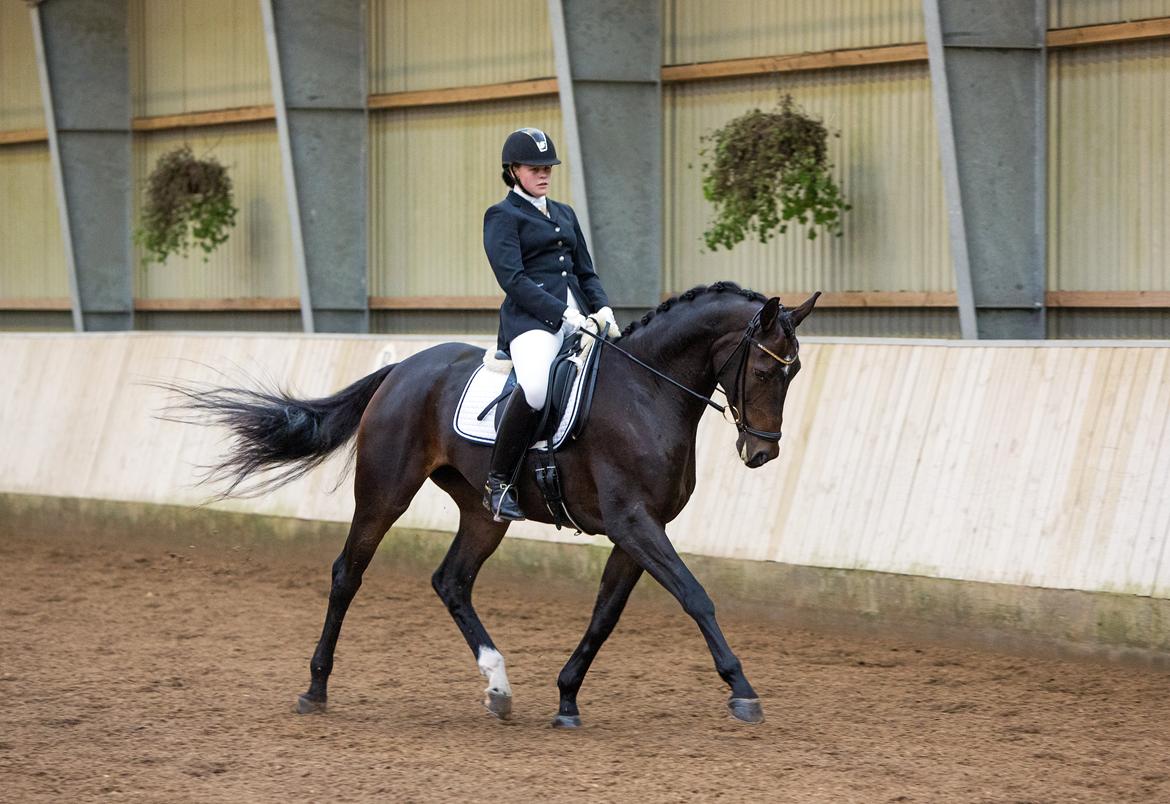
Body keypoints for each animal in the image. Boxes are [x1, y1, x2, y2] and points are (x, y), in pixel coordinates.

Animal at [180, 279, 823, 725]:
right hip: (385, 493)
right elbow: (696, 597)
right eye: (765, 370)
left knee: (452, 580)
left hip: (483, 512)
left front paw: (566, 697)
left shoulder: (637, 530)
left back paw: (498, 687)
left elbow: (606, 615)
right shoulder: (634, 523)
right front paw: (743, 691)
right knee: (347, 574)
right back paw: (315, 690)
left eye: (793, 375)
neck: (648, 391)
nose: (761, 452)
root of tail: (404, 367)